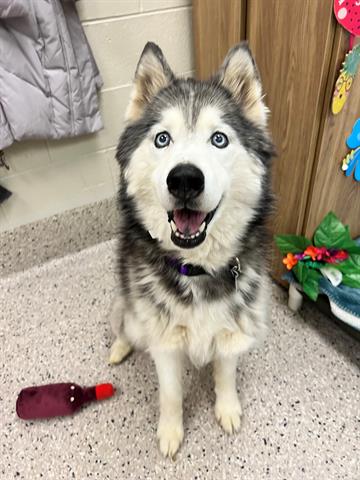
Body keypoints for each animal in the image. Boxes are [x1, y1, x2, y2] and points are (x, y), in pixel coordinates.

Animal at [109, 42, 272, 458]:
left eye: (219, 139)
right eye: (162, 139)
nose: (184, 178)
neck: (197, 268)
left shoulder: (232, 332)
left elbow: (225, 376)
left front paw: (227, 409)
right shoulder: (165, 343)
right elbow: (170, 395)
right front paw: (171, 432)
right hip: (130, 310)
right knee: (126, 324)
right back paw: (119, 347)